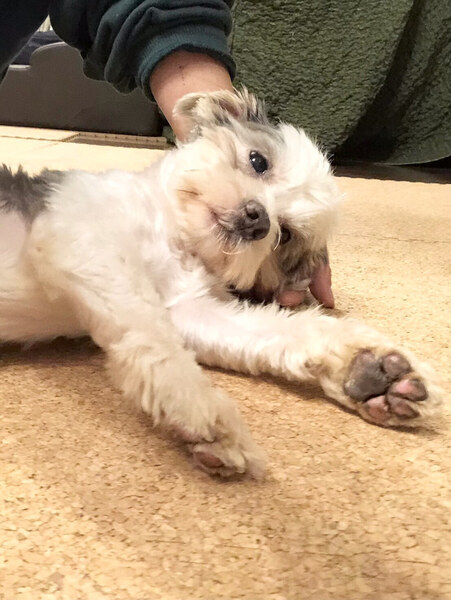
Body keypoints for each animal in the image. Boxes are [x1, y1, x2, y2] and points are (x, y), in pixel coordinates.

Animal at [0, 89, 442, 477]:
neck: (176, 235)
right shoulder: (82, 237)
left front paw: (371, 369)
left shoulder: (188, 308)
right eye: (258, 161)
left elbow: (275, 330)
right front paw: (200, 409)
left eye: (285, 235)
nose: (257, 218)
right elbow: (151, 332)